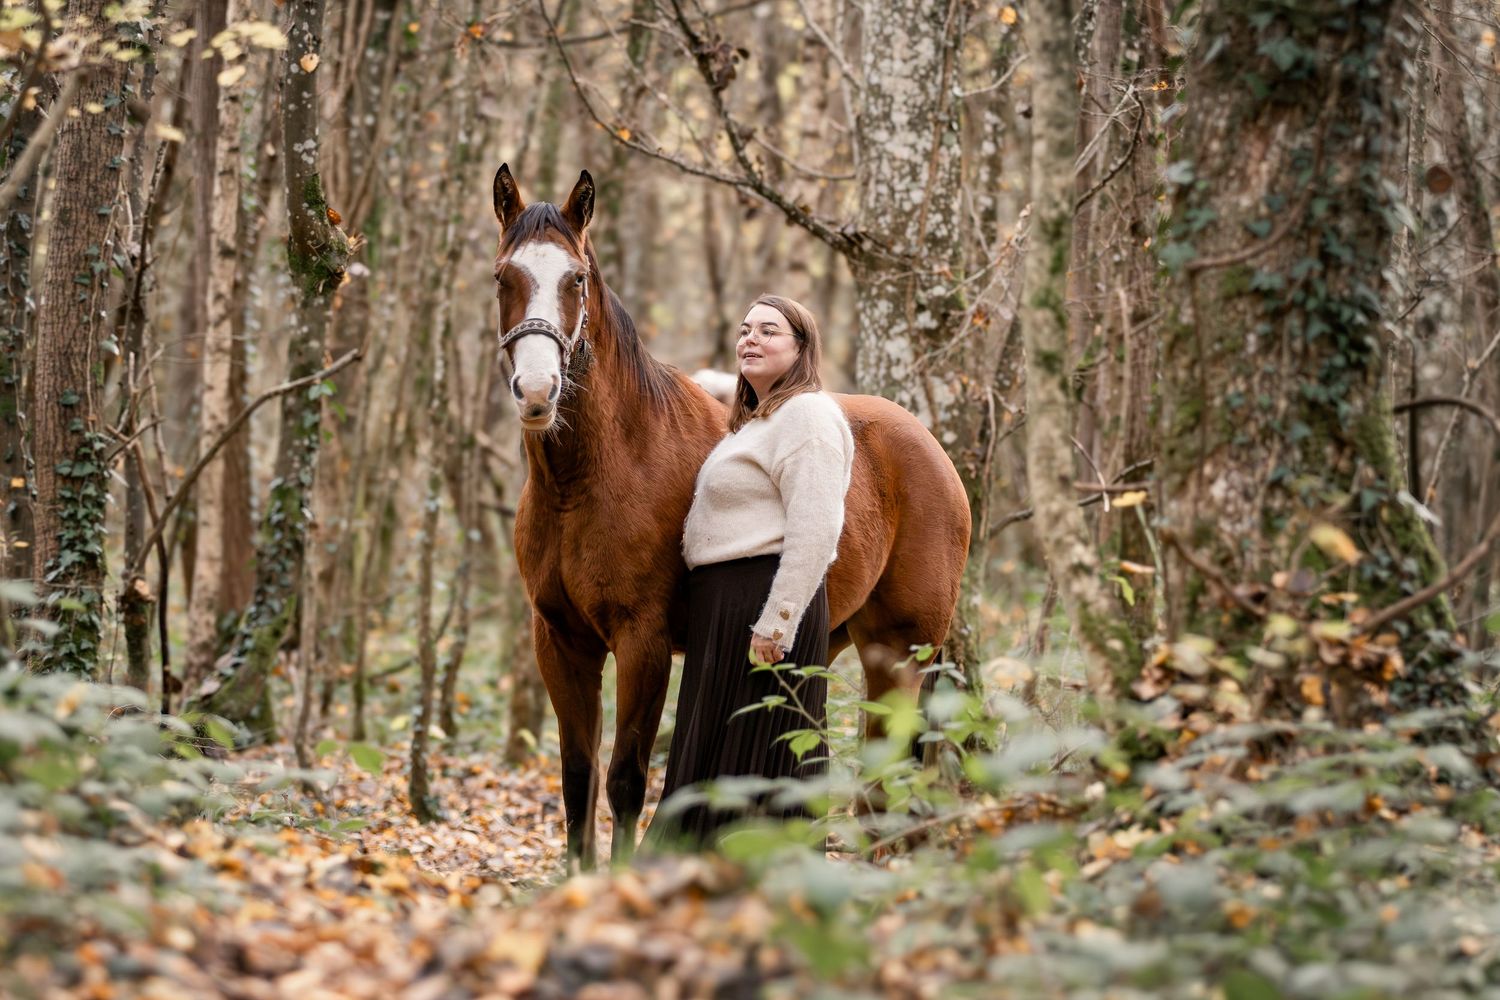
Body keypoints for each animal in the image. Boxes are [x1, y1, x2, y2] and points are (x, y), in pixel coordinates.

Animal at [492, 164, 970, 868]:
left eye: (575, 279)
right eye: (505, 276)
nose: (536, 392)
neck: (586, 482)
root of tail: (930, 448)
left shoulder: (642, 641)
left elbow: (626, 777)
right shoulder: (558, 640)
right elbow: (578, 775)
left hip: (904, 649)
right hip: (844, 641)